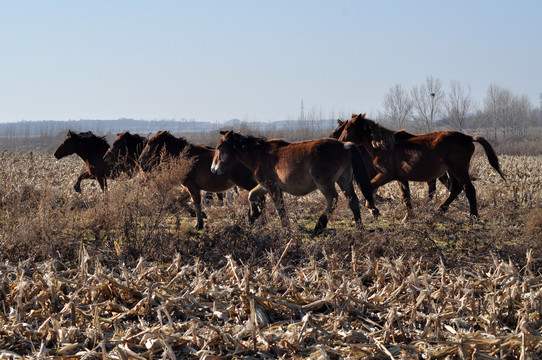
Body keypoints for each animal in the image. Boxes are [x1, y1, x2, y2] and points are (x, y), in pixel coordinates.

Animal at [136, 131, 264, 229]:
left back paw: (255, 216)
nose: (140, 161)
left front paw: (199, 224)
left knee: (259, 196)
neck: (185, 157)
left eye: (150, 143)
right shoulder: (189, 187)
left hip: (245, 182)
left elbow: (196, 203)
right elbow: (179, 200)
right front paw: (198, 215)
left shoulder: (192, 186)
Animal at [211, 130, 378, 233]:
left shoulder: (272, 187)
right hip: (344, 181)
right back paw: (359, 227)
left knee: (333, 199)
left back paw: (319, 226)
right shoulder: (265, 185)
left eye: (219, 148)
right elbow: (251, 195)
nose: (213, 169)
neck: (259, 155)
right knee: (352, 201)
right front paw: (253, 214)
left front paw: (285, 228)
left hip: (325, 183)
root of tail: (344, 145)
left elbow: (280, 208)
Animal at [340, 114, 506, 219]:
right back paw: (440, 210)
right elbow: (406, 196)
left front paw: (372, 209)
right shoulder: (401, 178)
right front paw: (408, 216)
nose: (341, 142)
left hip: (459, 169)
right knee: (456, 189)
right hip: (452, 171)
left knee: (469, 190)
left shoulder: (386, 175)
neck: (384, 147)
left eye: (348, 128)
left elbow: (370, 186)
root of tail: (468, 137)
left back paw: (473, 217)